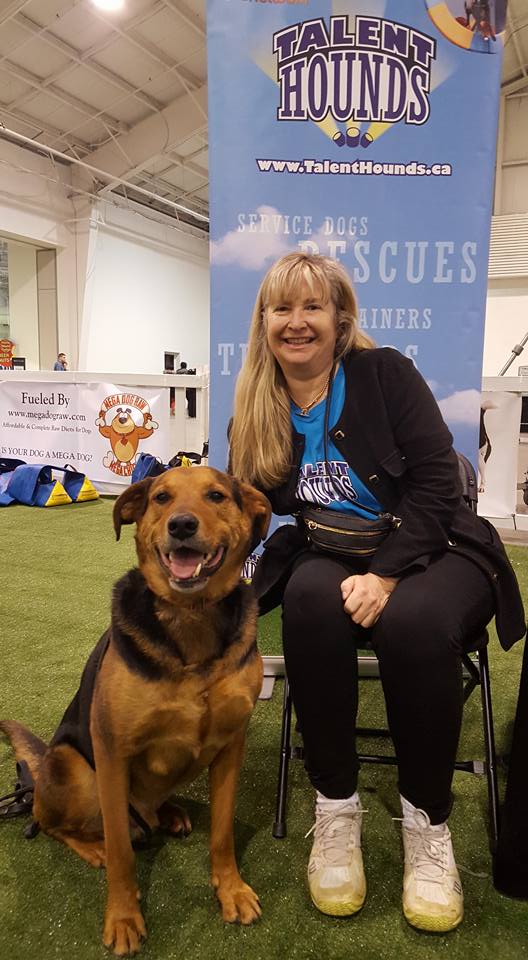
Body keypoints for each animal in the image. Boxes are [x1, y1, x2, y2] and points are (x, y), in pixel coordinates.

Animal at [1, 464, 272, 952]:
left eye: (217, 496)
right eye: (161, 497)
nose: (181, 525)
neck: (191, 617)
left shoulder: (230, 747)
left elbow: (222, 833)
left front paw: (231, 889)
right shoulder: (112, 752)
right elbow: (122, 852)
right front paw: (124, 917)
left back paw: (170, 813)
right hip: (76, 770)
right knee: (49, 822)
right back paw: (93, 845)